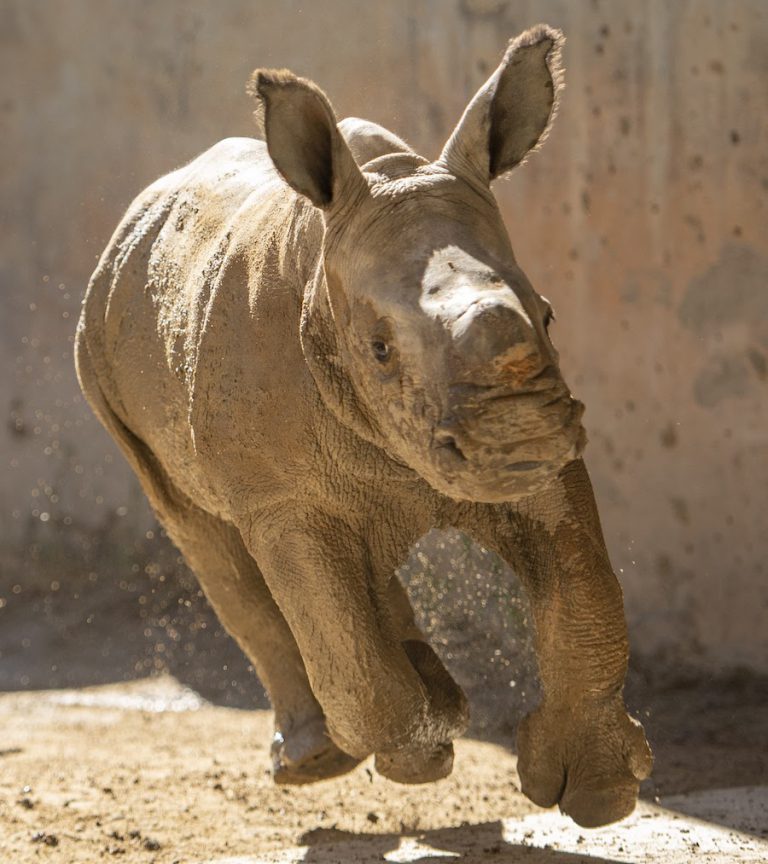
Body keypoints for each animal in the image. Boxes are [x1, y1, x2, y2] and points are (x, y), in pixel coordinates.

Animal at [75, 24, 652, 827]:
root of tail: (141, 210)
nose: (521, 441)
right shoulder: (283, 497)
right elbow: (337, 630)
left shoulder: (540, 459)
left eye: (548, 316)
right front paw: (416, 752)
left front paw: (597, 795)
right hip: (100, 361)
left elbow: (585, 591)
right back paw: (320, 760)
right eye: (378, 349)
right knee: (212, 542)